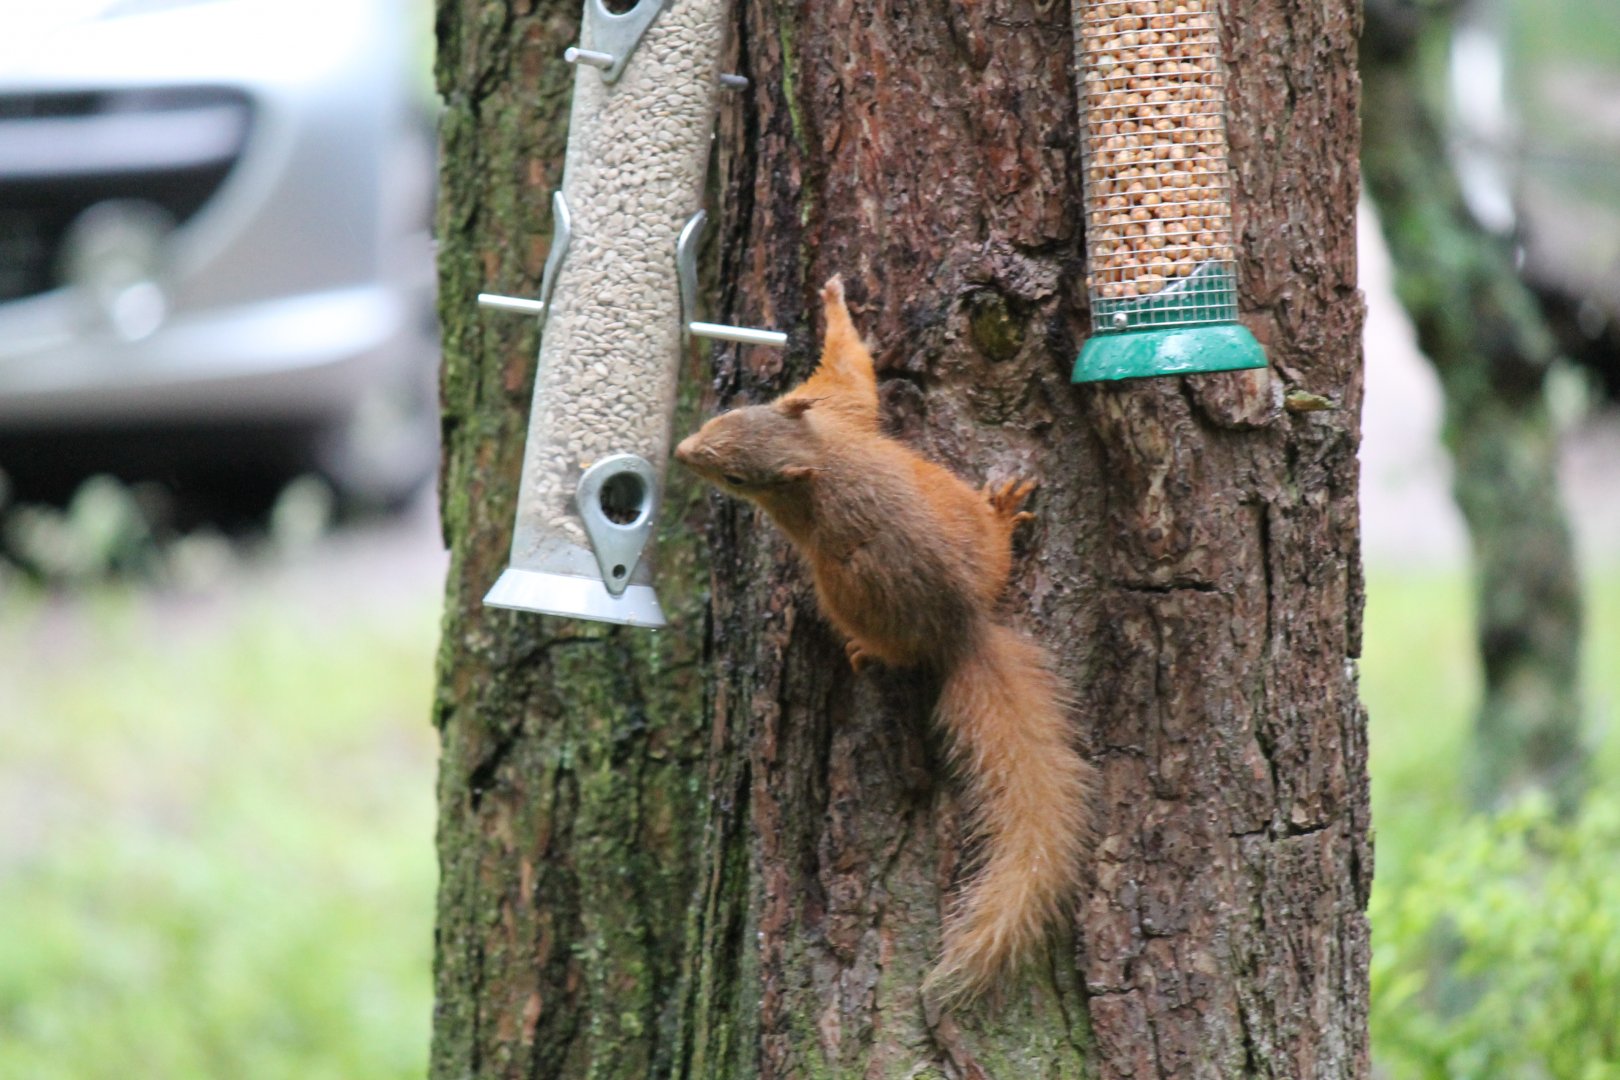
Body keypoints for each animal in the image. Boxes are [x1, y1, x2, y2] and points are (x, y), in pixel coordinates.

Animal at [674, 275, 1095, 1003]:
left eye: (735, 478)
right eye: (731, 416)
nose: (681, 450)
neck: (817, 451)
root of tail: (961, 627)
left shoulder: (828, 438)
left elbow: (847, 371)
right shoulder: (841, 411)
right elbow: (850, 370)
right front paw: (835, 301)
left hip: (845, 591)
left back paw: (869, 651)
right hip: (962, 525)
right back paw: (1004, 515)